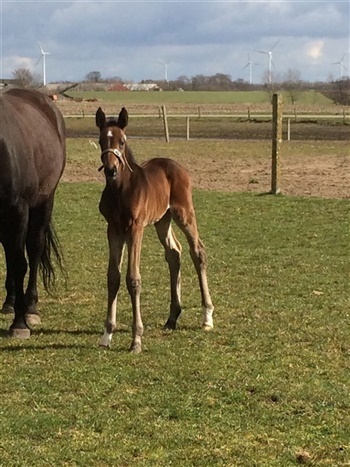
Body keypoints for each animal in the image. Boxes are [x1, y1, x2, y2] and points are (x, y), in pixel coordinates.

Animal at [0, 88, 66, 338]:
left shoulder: (18, 209)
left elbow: (21, 263)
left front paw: (19, 324)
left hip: (43, 204)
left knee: (34, 249)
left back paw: (29, 308)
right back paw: (9, 302)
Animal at [95, 107, 213, 354]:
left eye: (122, 141)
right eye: (101, 141)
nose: (110, 170)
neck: (120, 190)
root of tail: (178, 167)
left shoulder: (135, 228)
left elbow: (133, 279)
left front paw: (136, 340)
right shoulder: (113, 228)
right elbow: (113, 277)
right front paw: (107, 335)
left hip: (183, 213)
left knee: (197, 251)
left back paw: (207, 317)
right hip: (162, 220)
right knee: (174, 253)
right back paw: (172, 318)